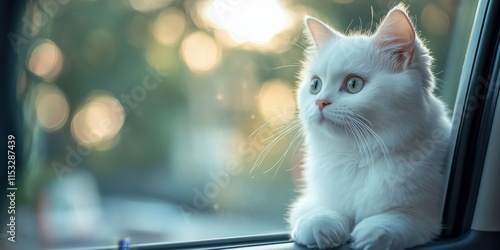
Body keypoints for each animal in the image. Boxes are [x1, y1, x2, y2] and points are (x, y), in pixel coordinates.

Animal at [288, 3, 452, 250]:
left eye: (354, 84)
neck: (357, 155)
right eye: (315, 85)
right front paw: (321, 228)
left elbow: (394, 221)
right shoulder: (310, 201)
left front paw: (368, 236)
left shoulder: (424, 217)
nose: (320, 102)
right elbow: (321, 212)